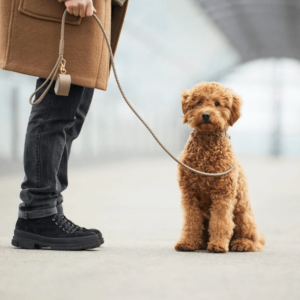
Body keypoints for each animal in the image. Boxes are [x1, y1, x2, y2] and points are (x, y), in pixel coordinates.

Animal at [175, 81, 264, 252]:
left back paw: (242, 244)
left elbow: (221, 221)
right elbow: (191, 221)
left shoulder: (223, 193)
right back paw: (200, 243)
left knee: (254, 240)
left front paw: (218, 245)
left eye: (217, 104)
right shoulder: (189, 193)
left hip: (243, 215)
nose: (205, 115)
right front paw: (187, 242)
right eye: (199, 102)